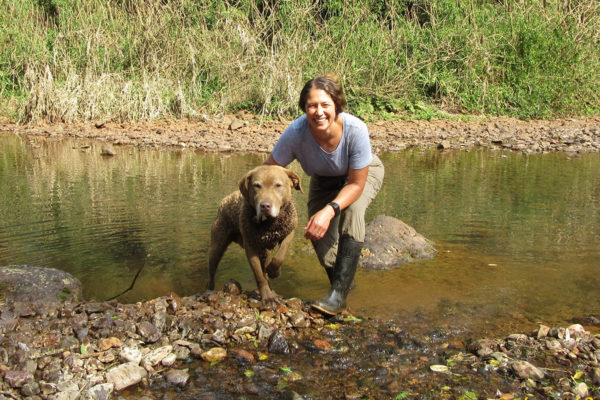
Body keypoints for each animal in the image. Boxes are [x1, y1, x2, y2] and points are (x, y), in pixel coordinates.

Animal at [207, 165, 302, 300]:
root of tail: (225, 199)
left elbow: (280, 255)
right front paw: (267, 296)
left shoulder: (289, 230)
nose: (265, 206)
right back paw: (209, 290)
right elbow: (258, 275)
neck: (269, 225)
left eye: (278, 185)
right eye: (257, 185)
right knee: (211, 271)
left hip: (264, 251)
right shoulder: (250, 247)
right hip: (217, 244)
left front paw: (274, 271)